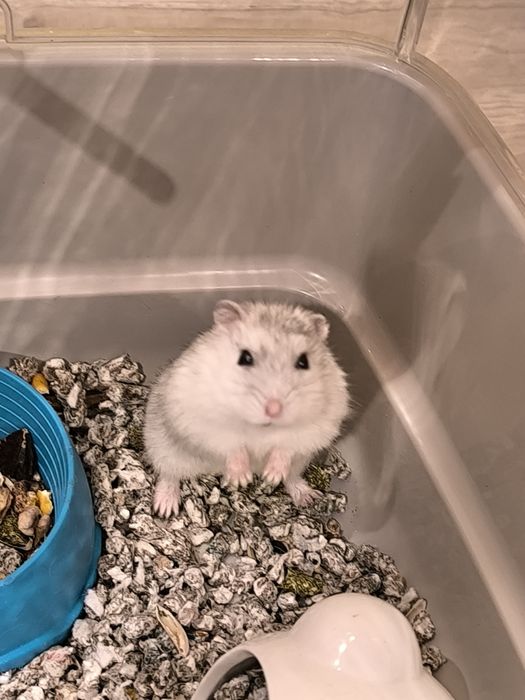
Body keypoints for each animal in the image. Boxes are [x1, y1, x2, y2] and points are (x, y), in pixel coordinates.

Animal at [144, 300, 350, 517]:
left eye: (304, 362)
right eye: (245, 357)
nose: (273, 410)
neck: (260, 427)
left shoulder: (316, 427)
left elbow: (286, 445)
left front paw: (272, 475)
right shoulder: (204, 423)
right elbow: (232, 444)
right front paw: (241, 479)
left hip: (301, 462)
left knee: (292, 477)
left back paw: (307, 496)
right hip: (165, 449)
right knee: (168, 475)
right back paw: (165, 508)